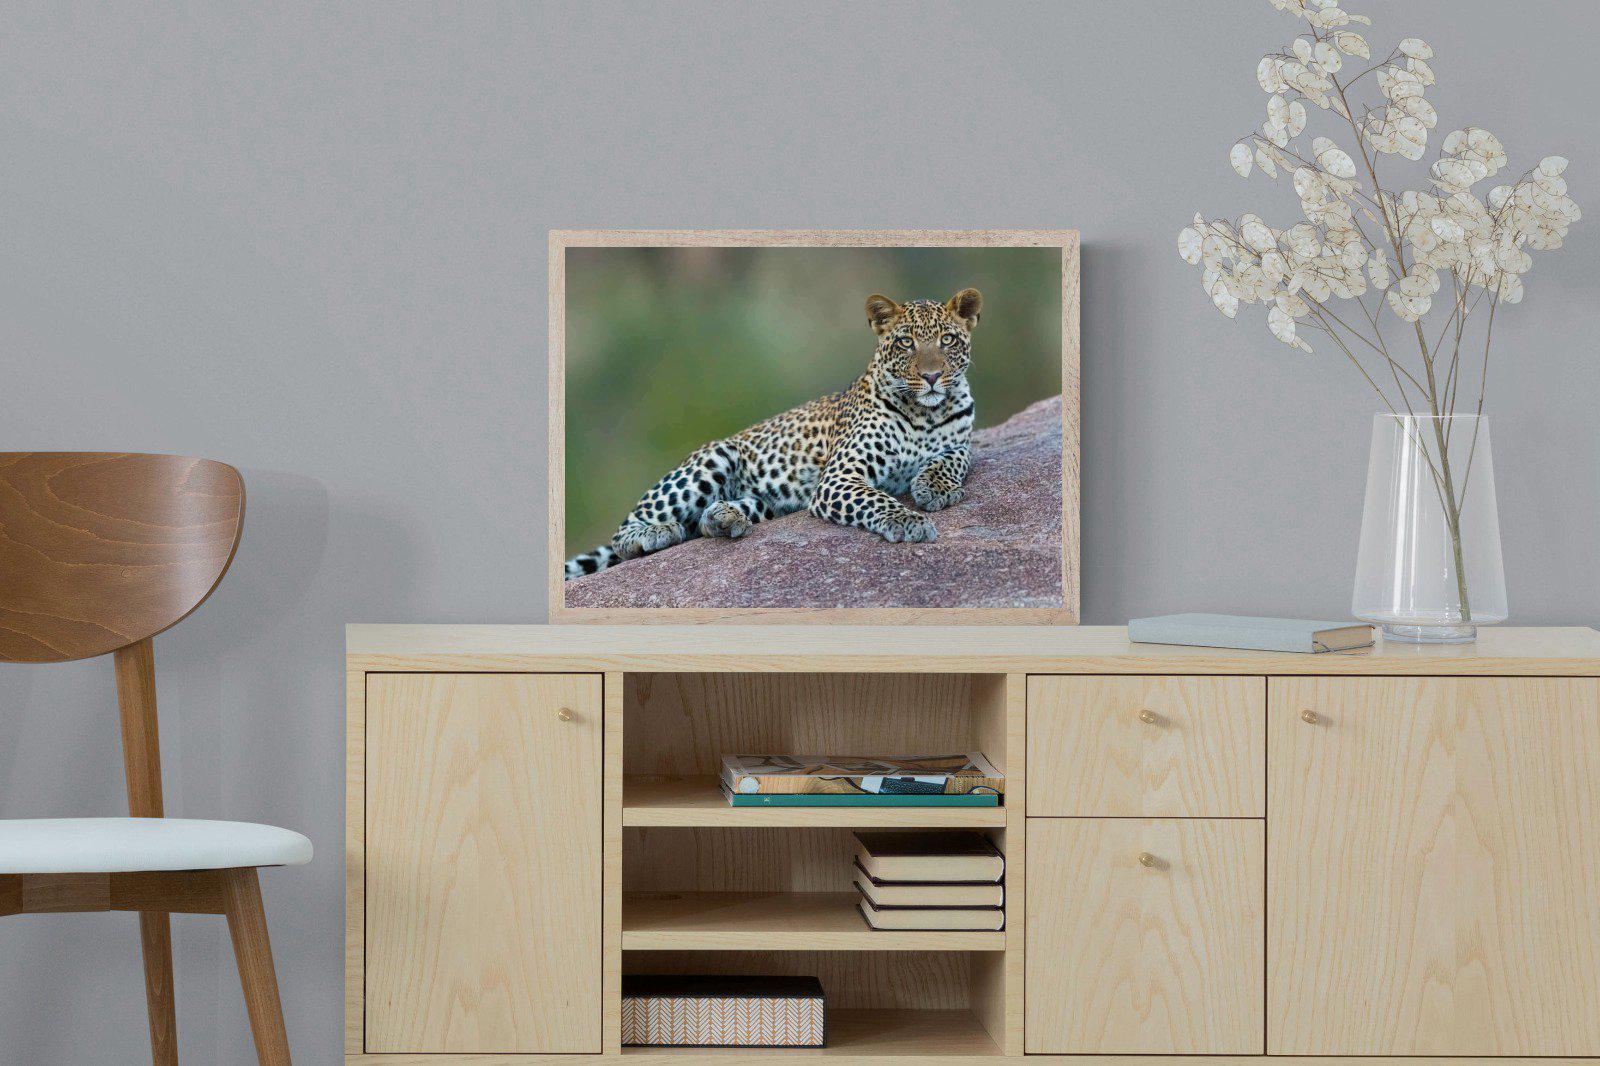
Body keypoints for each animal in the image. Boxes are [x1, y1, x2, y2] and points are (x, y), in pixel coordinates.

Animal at [564, 287, 982, 579]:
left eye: (947, 340)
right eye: (905, 342)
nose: (932, 376)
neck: (926, 412)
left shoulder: (962, 441)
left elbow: (954, 458)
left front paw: (935, 488)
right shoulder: (839, 477)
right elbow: (877, 499)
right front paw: (909, 521)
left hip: (768, 501)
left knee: (705, 522)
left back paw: (725, 517)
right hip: (713, 458)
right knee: (625, 532)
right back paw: (658, 533)